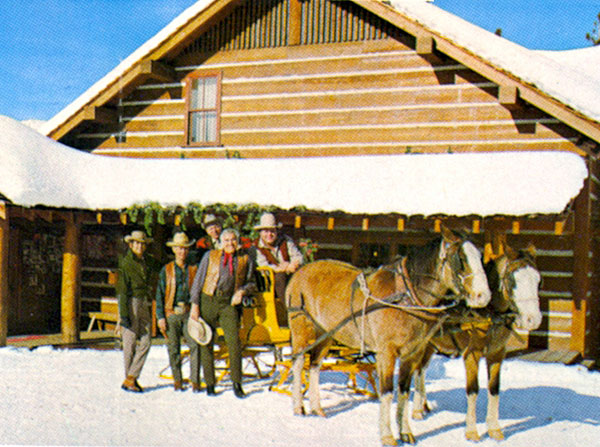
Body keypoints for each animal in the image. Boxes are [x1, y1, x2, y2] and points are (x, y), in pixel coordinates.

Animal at [288, 229, 492, 446]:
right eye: (460, 259)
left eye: (480, 257)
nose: (483, 296)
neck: (405, 298)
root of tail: (301, 271)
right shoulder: (387, 352)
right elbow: (386, 392)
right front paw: (387, 435)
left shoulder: (412, 353)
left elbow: (403, 390)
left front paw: (405, 432)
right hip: (301, 329)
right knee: (299, 363)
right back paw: (298, 407)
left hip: (326, 332)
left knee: (315, 365)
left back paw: (317, 408)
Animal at [412, 245, 544, 440]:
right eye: (513, 280)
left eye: (538, 280)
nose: (533, 320)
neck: (488, 313)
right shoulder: (472, 353)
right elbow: (473, 389)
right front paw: (472, 431)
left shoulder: (497, 353)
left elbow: (494, 388)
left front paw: (494, 429)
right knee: (417, 370)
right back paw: (416, 410)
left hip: (430, 344)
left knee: (421, 370)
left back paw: (422, 406)